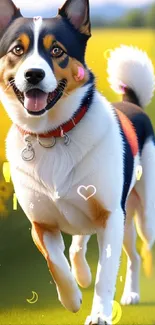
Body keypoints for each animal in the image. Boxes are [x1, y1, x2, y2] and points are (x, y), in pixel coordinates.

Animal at [0, 0, 155, 322]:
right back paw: (85, 276)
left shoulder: (111, 216)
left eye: (57, 50)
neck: (52, 134)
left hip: (143, 212)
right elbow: (56, 262)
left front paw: (99, 315)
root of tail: (131, 103)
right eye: (17, 50)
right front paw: (72, 298)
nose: (33, 74)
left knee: (138, 252)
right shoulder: (41, 222)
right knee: (82, 245)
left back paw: (131, 293)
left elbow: (105, 275)